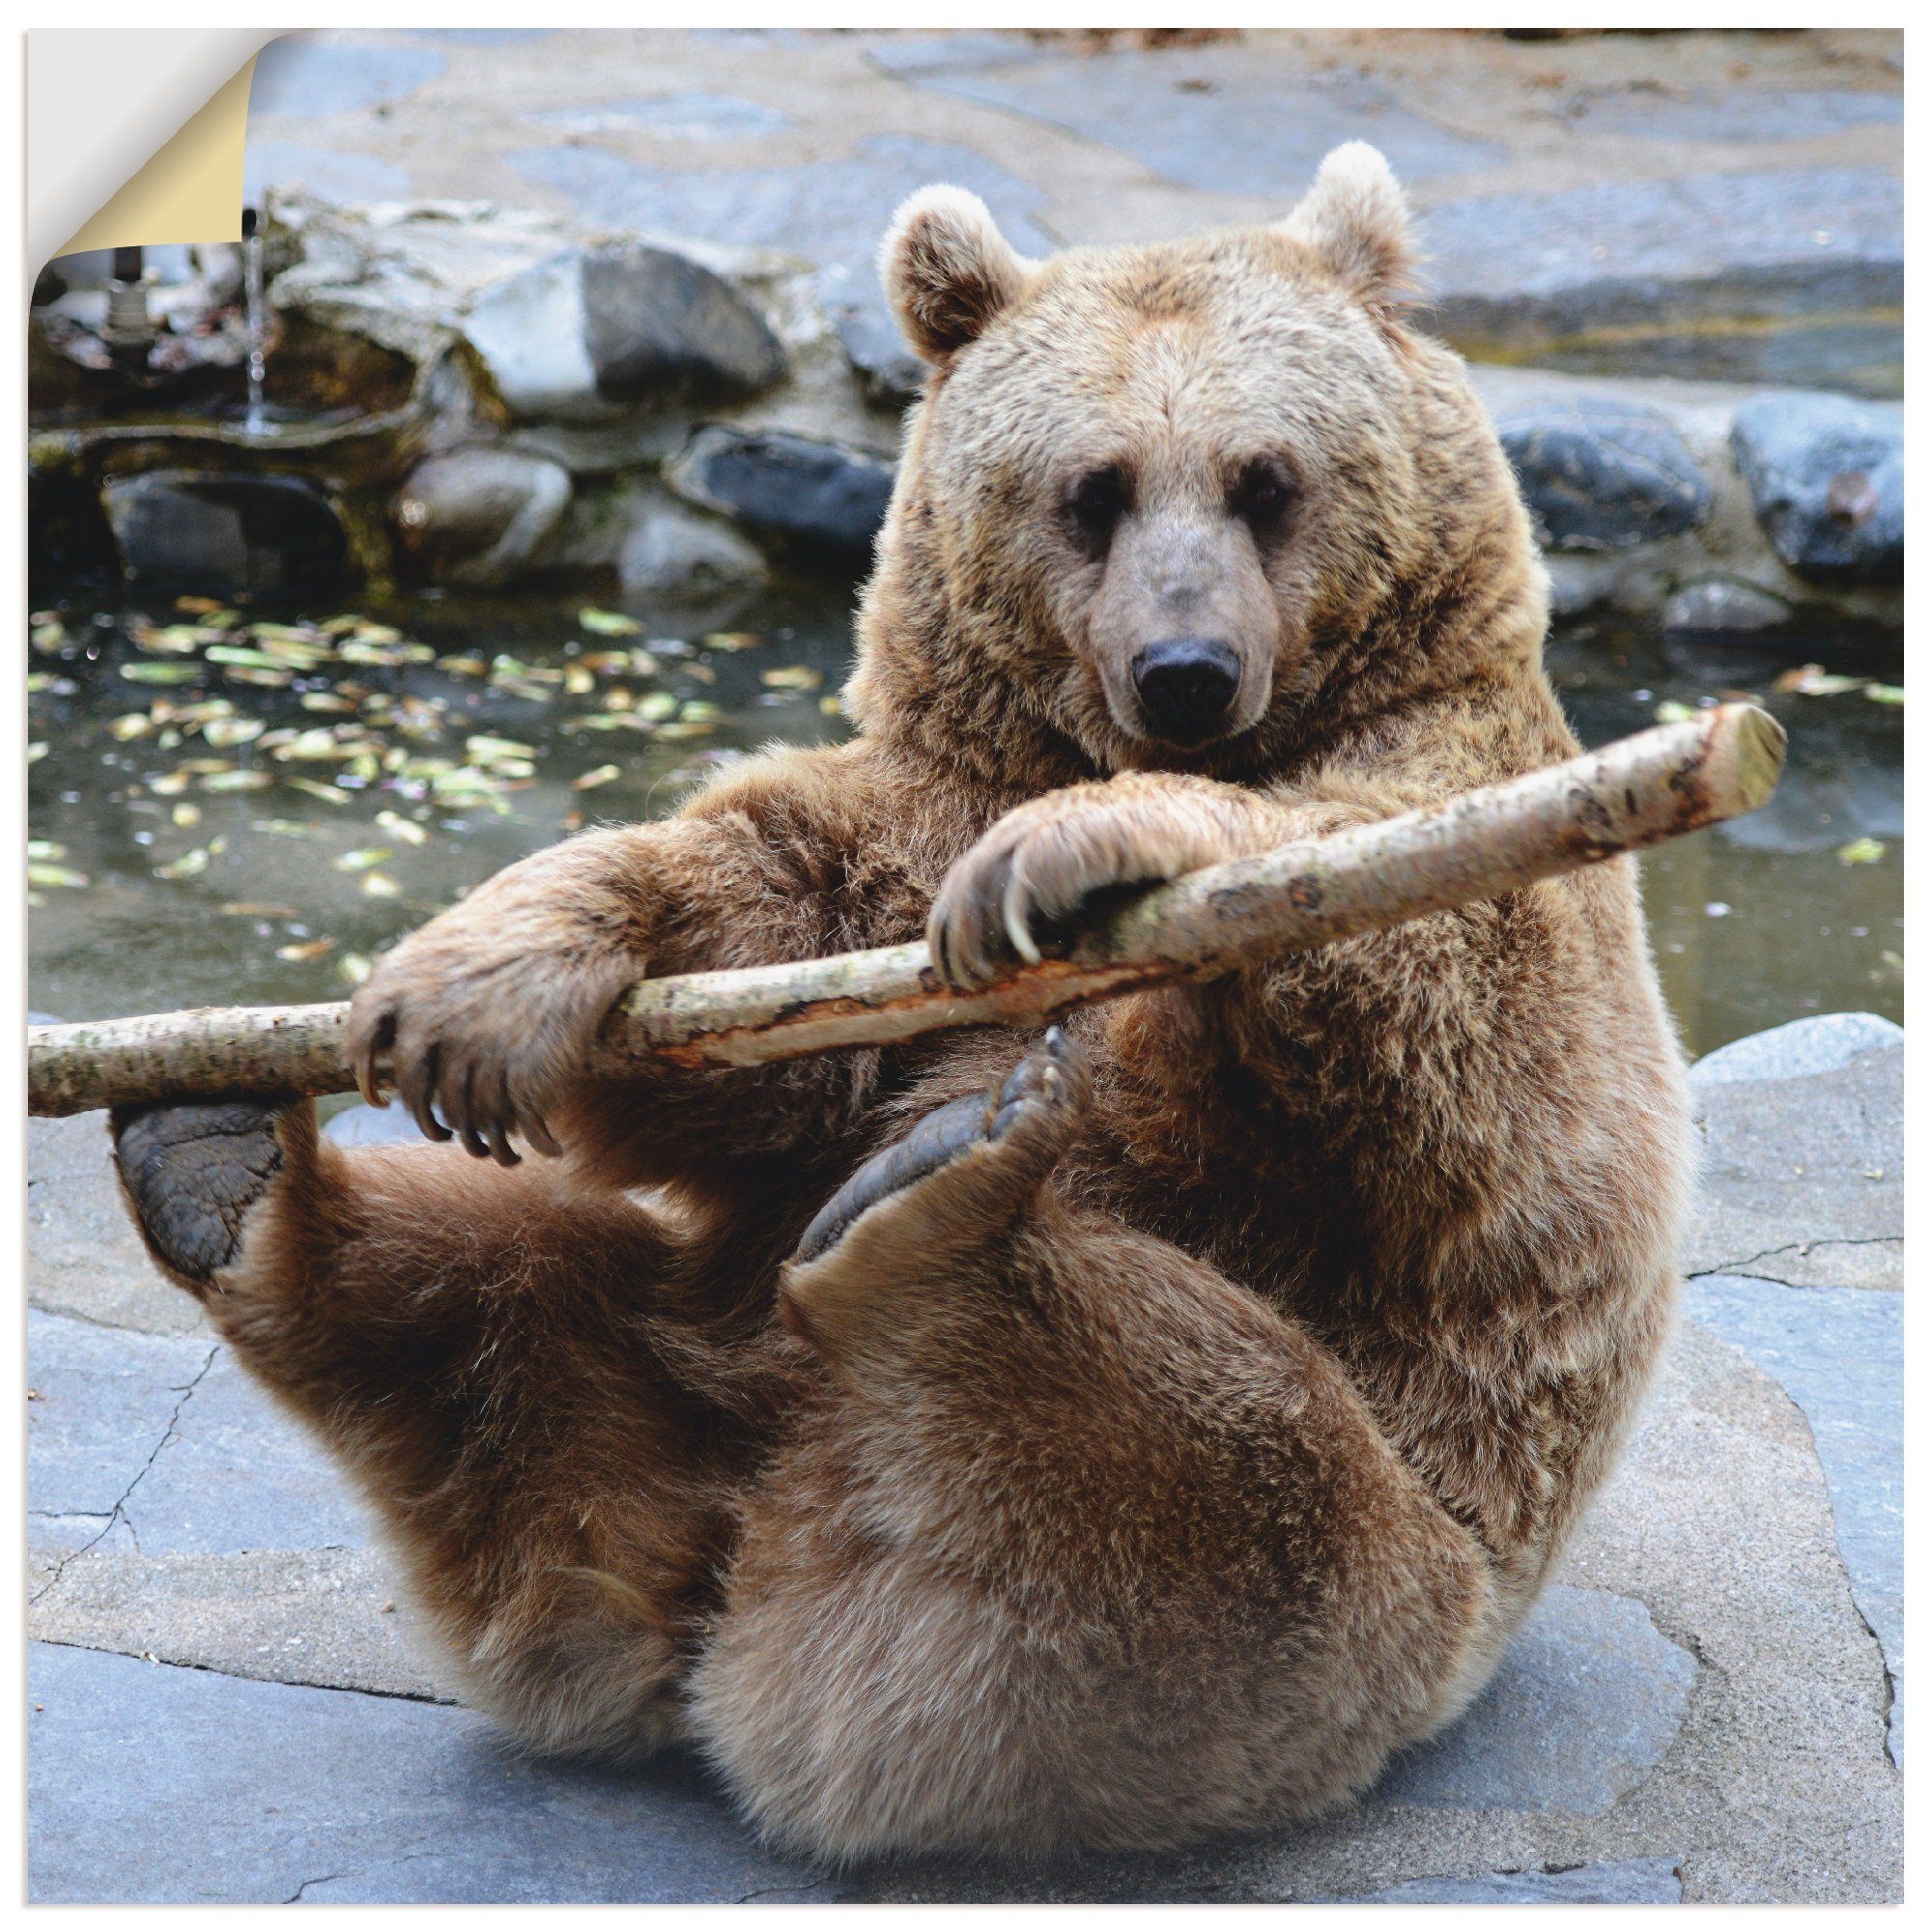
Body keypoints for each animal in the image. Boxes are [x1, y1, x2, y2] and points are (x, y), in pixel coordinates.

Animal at [117, 143, 1692, 1862]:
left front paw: (1099, 849)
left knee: (1199, 1459)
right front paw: (485, 979)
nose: (1187, 669)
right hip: (652, 1386)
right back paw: (224, 1175)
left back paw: (933, 1224)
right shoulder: (926, 803)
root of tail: (743, 1591)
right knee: (496, 1310)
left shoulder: (1474, 804)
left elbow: (1437, 1039)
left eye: (1265, 480)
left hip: (1357, 1588)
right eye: (1094, 489)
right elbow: (759, 964)